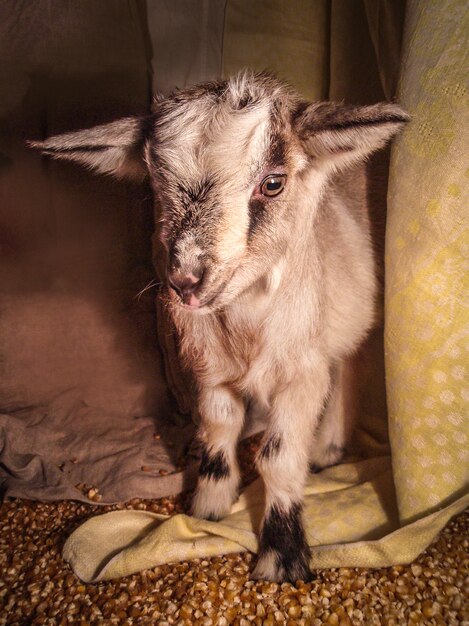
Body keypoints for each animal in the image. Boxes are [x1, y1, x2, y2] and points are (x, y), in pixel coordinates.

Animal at [32, 69, 406, 580]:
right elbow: (217, 431)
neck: (246, 325)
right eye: (156, 185)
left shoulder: (299, 374)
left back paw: (327, 447)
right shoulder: (211, 373)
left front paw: (281, 557)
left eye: (273, 183)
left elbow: (279, 457)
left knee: (351, 360)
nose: (185, 281)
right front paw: (207, 509)